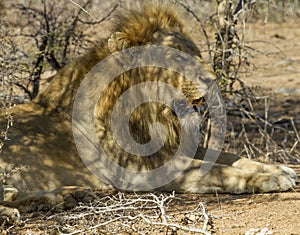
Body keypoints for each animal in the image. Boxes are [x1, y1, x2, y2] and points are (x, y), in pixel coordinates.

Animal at [0, 2, 296, 221]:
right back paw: (15, 213)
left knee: (14, 194)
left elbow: (233, 158)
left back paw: (69, 196)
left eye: (196, 53)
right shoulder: (143, 170)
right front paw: (273, 178)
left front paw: (283, 168)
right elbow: (220, 172)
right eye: (175, 57)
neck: (148, 116)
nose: (213, 80)